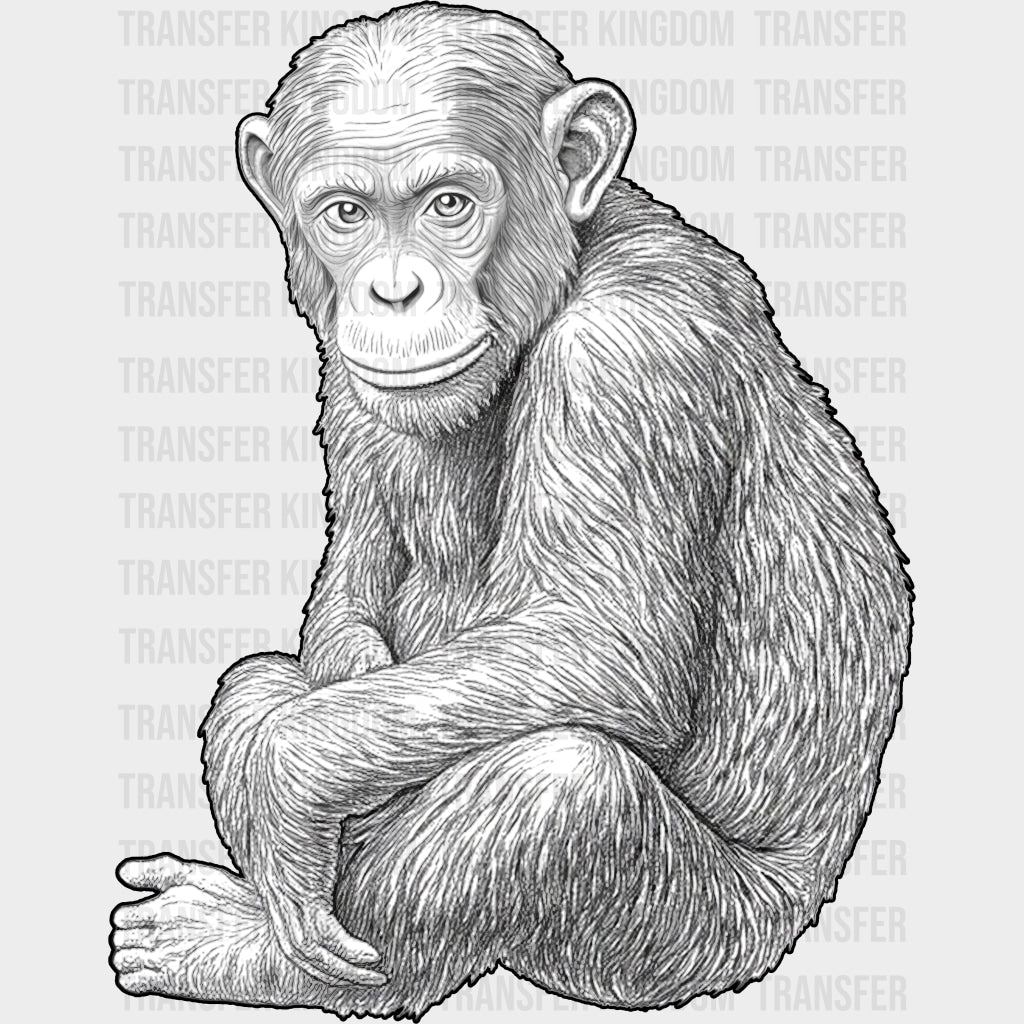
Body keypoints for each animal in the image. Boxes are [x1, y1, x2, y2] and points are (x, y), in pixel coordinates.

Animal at [110, 3, 912, 1017]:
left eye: (450, 204)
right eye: (347, 214)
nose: (394, 289)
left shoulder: (627, 359)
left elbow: (600, 641)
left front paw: (289, 782)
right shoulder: (347, 373)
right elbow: (352, 585)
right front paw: (328, 724)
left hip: (688, 941)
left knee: (560, 786)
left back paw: (246, 950)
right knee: (255, 680)